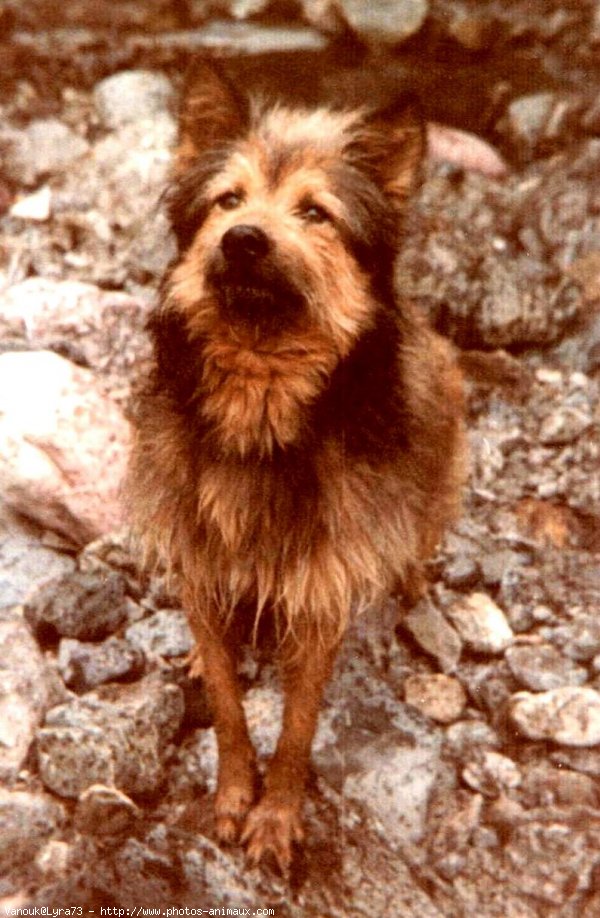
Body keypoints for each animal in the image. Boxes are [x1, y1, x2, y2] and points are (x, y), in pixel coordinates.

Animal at [125, 61, 464, 872]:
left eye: (316, 213)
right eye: (228, 200)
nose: (244, 239)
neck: (260, 407)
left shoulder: (320, 589)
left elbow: (300, 725)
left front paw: (276, 818)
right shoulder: (197, 559)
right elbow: (226, 701)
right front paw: (230, 797)